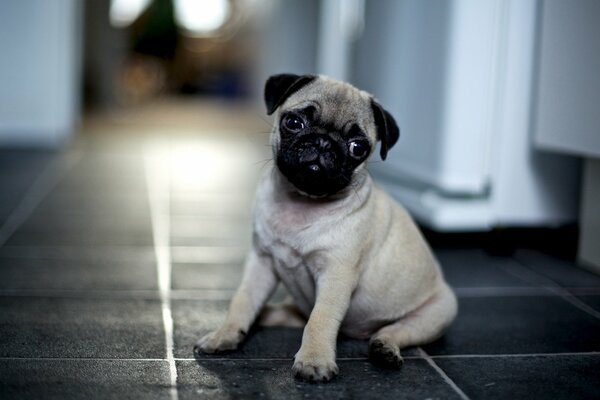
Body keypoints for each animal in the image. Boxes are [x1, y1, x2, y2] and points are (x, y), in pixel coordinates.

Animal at [195, 73, 458, 382]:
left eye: (358, 147)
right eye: (293, 122)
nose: (323, 143)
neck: (302, 201)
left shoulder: (336, 274)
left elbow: (320, 319)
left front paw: (314, 360)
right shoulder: (261, 263)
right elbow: (243, 300)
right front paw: (225, 334)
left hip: (437, 314)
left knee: (394, 330)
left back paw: (385, 349)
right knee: (289, 313)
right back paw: (262, 316)